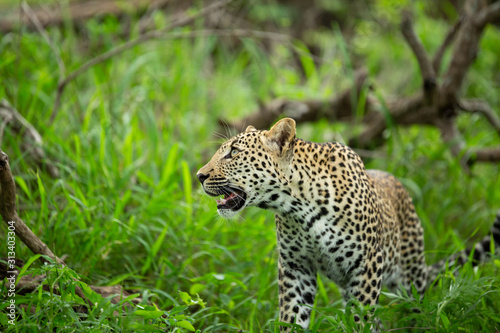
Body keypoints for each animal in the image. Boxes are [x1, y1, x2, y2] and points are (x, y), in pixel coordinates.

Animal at [195, 117, 500, 330]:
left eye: (233, 153)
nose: (199, 175)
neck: (298, 207)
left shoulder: (366, 267)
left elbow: (359, 319)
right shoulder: (296, 268)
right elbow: (292, 317)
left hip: (410, 280)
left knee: (416, 312)